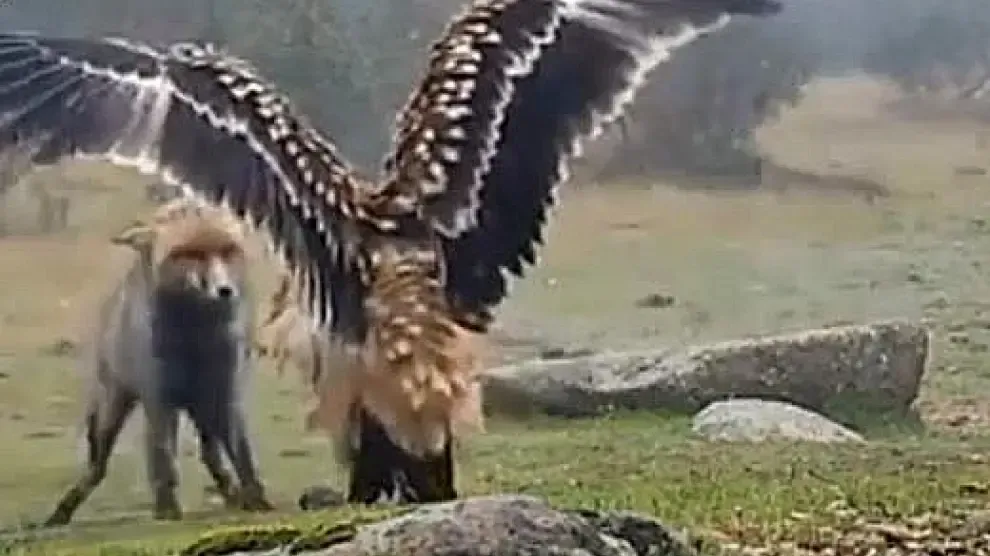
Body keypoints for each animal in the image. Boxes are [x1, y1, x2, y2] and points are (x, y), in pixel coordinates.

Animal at [44, 198, 274, 526]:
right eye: (190, 254)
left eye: (229, 251)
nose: (224, 291)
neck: (194, 341)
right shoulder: (159, 396)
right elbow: (163, 457)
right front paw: (167, 509)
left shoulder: (225, 391)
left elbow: (242, 453)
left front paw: (256, 499)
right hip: (113, 408)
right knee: (97, 466)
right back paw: (63, 510)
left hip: (202, 409)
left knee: (210, 454)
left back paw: (232, 494)